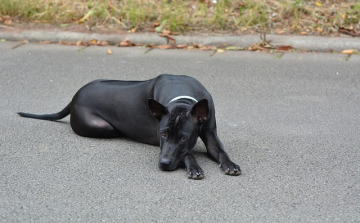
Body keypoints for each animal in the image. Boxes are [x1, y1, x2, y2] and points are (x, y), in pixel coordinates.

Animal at [18, 75, 240, 179]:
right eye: (163, 134)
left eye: (184, 137)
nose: (163, 163)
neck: (182, 99)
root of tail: (74, 97)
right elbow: (187, 153)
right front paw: (194, 167)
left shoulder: (210, 134)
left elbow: (220, 150)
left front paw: (230, 164)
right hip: (103, 127)